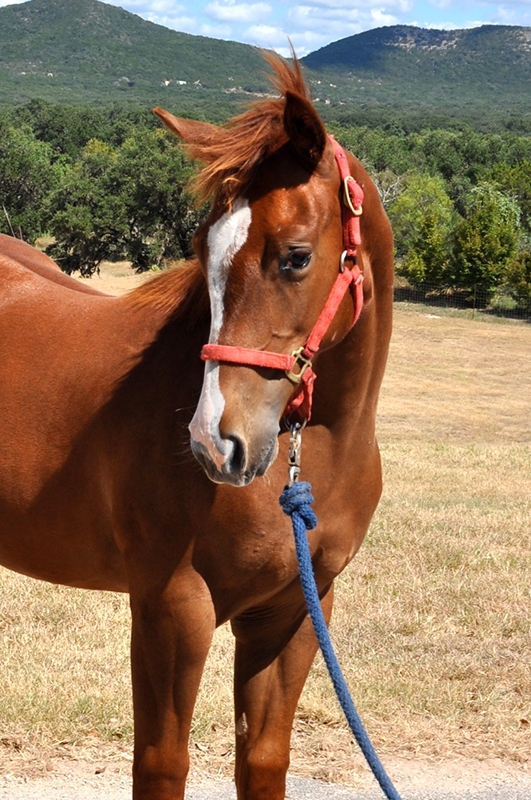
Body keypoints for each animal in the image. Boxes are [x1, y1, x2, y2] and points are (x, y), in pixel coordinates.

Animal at [0, 56, 390, 800]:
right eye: (200, 248)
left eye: (295, 256)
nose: (217, 443)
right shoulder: (172, 607)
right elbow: (161, 764)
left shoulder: (295, 612)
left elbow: (261, 760)